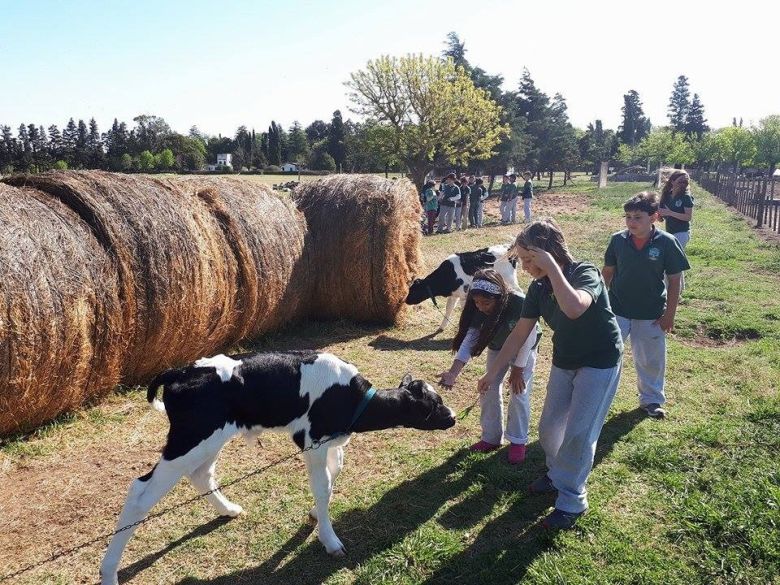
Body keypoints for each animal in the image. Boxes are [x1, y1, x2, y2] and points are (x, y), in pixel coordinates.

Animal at [100, 350, 454, 580]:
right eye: (435, 404)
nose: (452, 417)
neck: (351, 401)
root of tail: (181, 371)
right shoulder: (311, 440)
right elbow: (322, 485)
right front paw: (330, 540)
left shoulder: (329, 442)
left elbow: (332, 476)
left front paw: (315, 515)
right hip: (188, 440)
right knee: (140, 494)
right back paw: (109, 571)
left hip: (210, 438)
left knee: (201, 474)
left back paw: (228, 509)